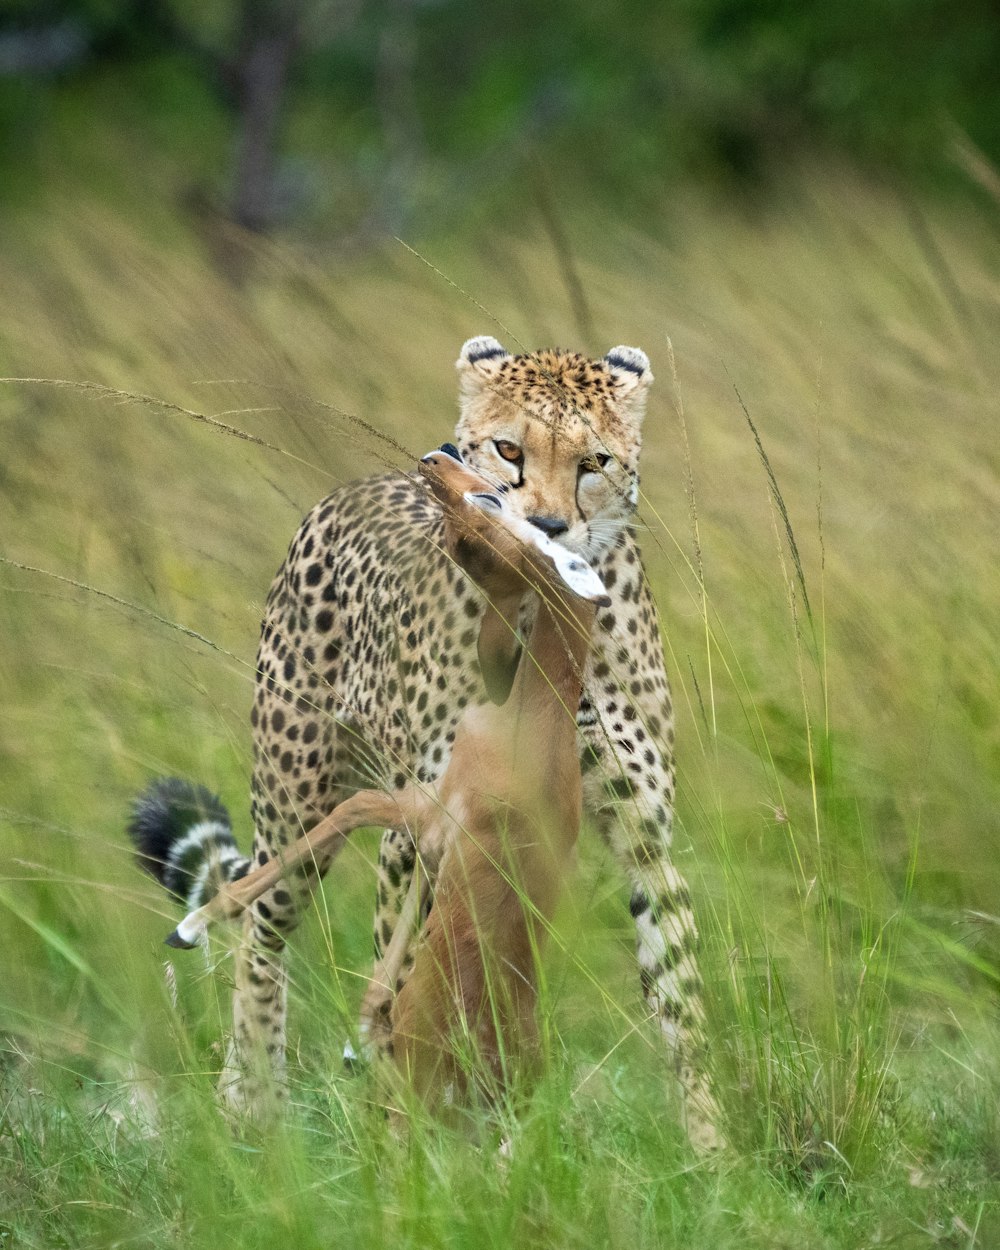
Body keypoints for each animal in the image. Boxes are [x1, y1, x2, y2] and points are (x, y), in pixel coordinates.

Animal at [132, 335, 725, 1150]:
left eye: (594, 461)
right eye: (509, 449)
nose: (549, 526)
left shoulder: (642, 832)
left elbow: (679, 994)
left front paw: (712, 1151)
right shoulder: (423, 825)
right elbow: (406, 965)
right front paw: (404, 1141)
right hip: (294, 803)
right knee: (263, 933)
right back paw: (254, 1105)